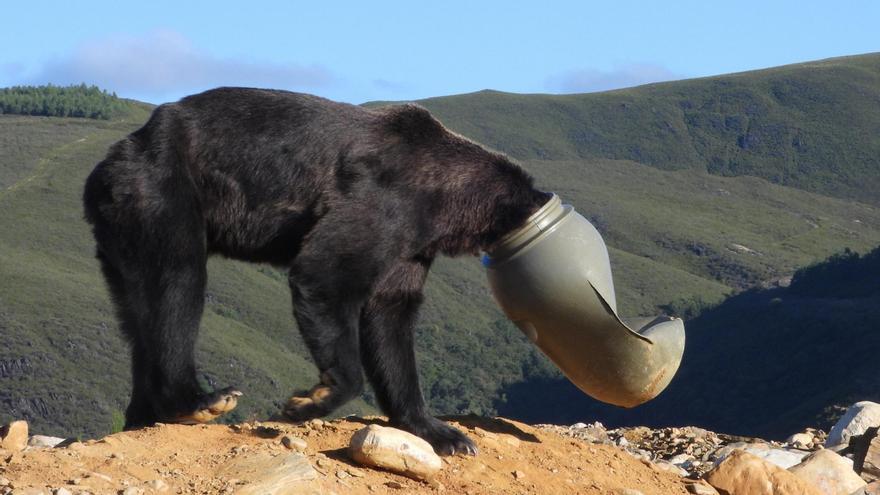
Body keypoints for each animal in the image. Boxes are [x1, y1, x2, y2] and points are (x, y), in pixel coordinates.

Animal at [82, 87, 552, 456]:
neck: (445, 201)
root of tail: (112, 158)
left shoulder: (410, 249)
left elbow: (391, 321)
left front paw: (444, 433)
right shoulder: (386, 203)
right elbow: (325, 275)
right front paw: (308, 400)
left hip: (123, 232)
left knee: (139, 313)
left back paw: (144, 415)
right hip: (163, 193)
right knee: (178, 286)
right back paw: (200, 399)